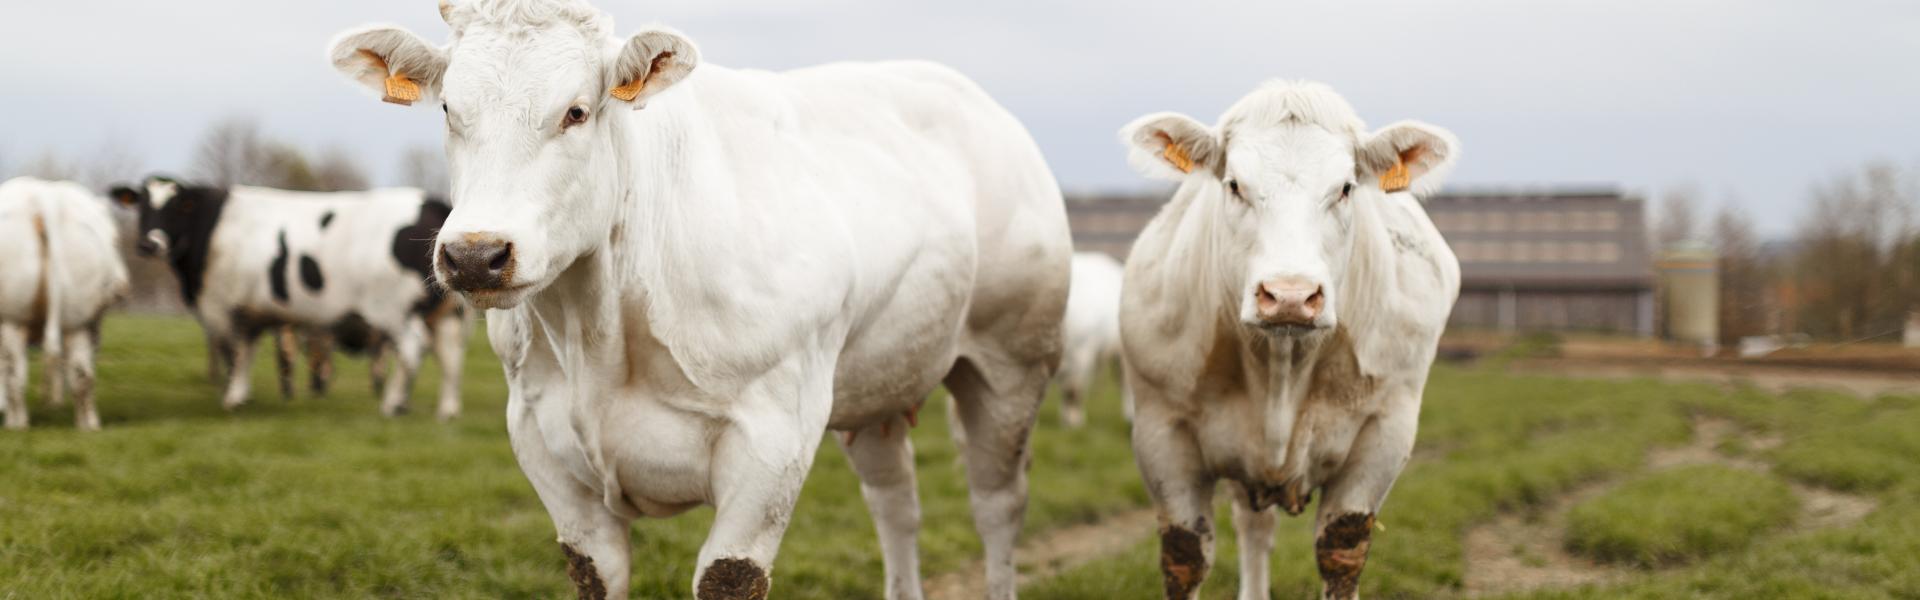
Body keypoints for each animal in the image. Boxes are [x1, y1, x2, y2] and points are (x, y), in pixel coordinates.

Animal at [0, 175, 130, 428]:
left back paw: (16, 424)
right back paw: (88, 425)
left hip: (14, 317)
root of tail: (42, 196)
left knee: (14, 376)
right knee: (82, 375)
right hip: (77, 320)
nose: (121, 287)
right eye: (116, 241)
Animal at [112, 175, 472, 419]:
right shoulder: (252, 313)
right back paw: (447, 410)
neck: (213, 227)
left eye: (176, 207)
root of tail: (431, 201)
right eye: (142, 205)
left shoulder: (224, 307)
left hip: (394, 310)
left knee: (412, 350)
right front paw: (242, 396)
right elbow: (247, 352)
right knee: (451, 357)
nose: (149, 243)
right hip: (445, 313)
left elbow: (235, 355)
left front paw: (232, 398)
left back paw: (392, 404)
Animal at [1113, 80, 1451, 600]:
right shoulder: (1161, 433)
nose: (1290, 295)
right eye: (1234, 184)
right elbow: (1185, 557)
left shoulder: (1384, 433)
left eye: (1346, 188)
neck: (1280, 366)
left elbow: (1340, 551)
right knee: (1253, 529)